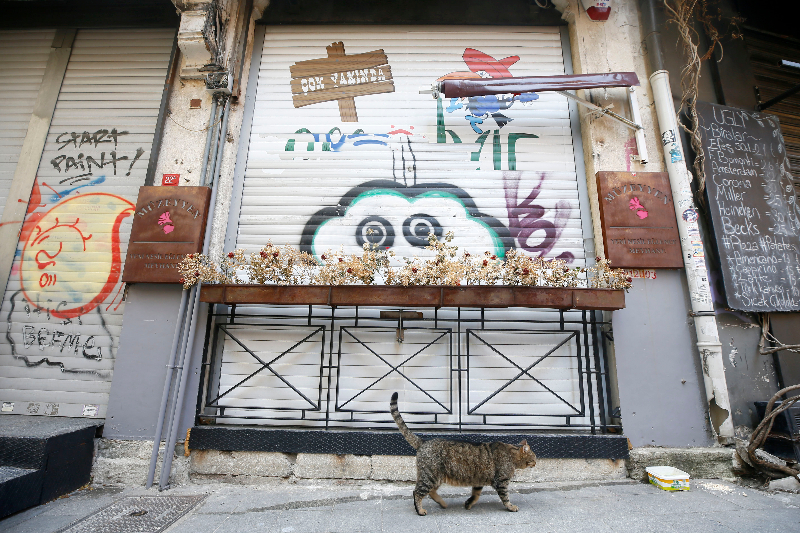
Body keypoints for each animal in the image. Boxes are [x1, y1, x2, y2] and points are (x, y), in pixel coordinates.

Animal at [390, 392, 536, 512]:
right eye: (534, 457)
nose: (535, 463)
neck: (512, 455)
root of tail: (424, 441)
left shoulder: (478, 481)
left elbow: (475, 495)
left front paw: (468, 504)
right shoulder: (501, 482)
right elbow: (506, 497)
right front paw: (511, 507)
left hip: (436, 478)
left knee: (430, 492)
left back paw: (442, 503)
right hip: (429, 476)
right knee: (417, 492)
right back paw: (420, 510)